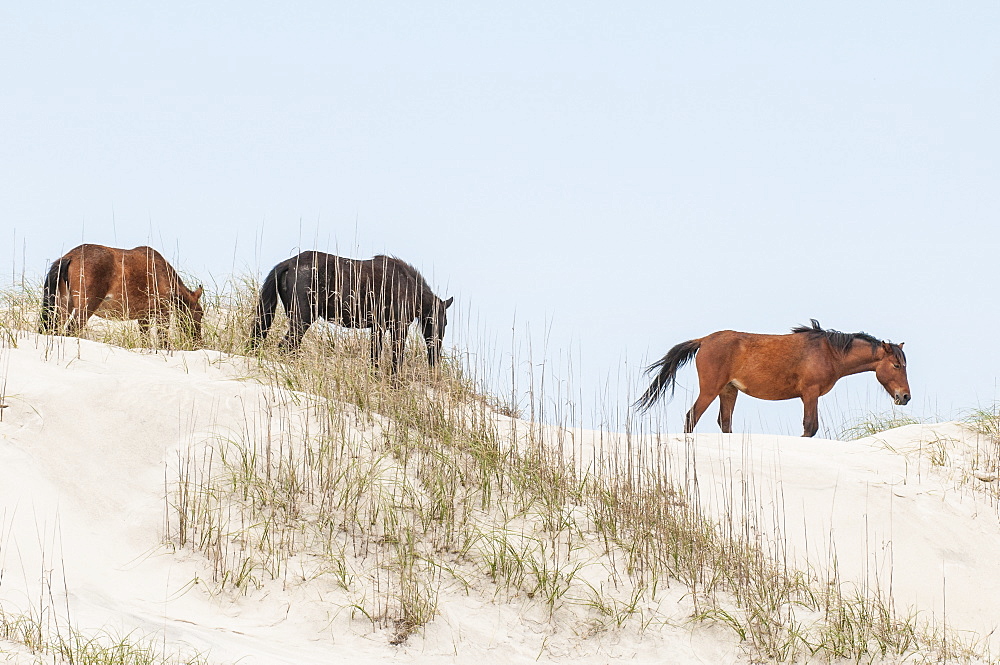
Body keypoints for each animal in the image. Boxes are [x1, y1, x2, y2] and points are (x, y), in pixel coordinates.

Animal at [37, 245, 205, 348]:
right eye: (201, 313)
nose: (198, 342)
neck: (163, 274)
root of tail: (70, 257)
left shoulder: (143, 317)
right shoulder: (162, 314)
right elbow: (163, 338)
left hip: (63, 307)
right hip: (85, 308)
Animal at [250, 249, 454, 374]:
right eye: (439, 322)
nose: (435, 356)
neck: (408, 286)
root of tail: (289, 263)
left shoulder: (378, 328)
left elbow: (375, 355)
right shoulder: (399, 328)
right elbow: (397, 358)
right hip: (302, 319)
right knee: (287, 346)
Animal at [636, 320, 912, 438]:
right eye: (896, 365)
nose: (905, 396)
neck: (828, 351)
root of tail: (704, 340)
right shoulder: (809, 394)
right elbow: (810, 427)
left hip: (728, 391)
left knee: (724, 423)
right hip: (710, 390)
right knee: (691, 418)